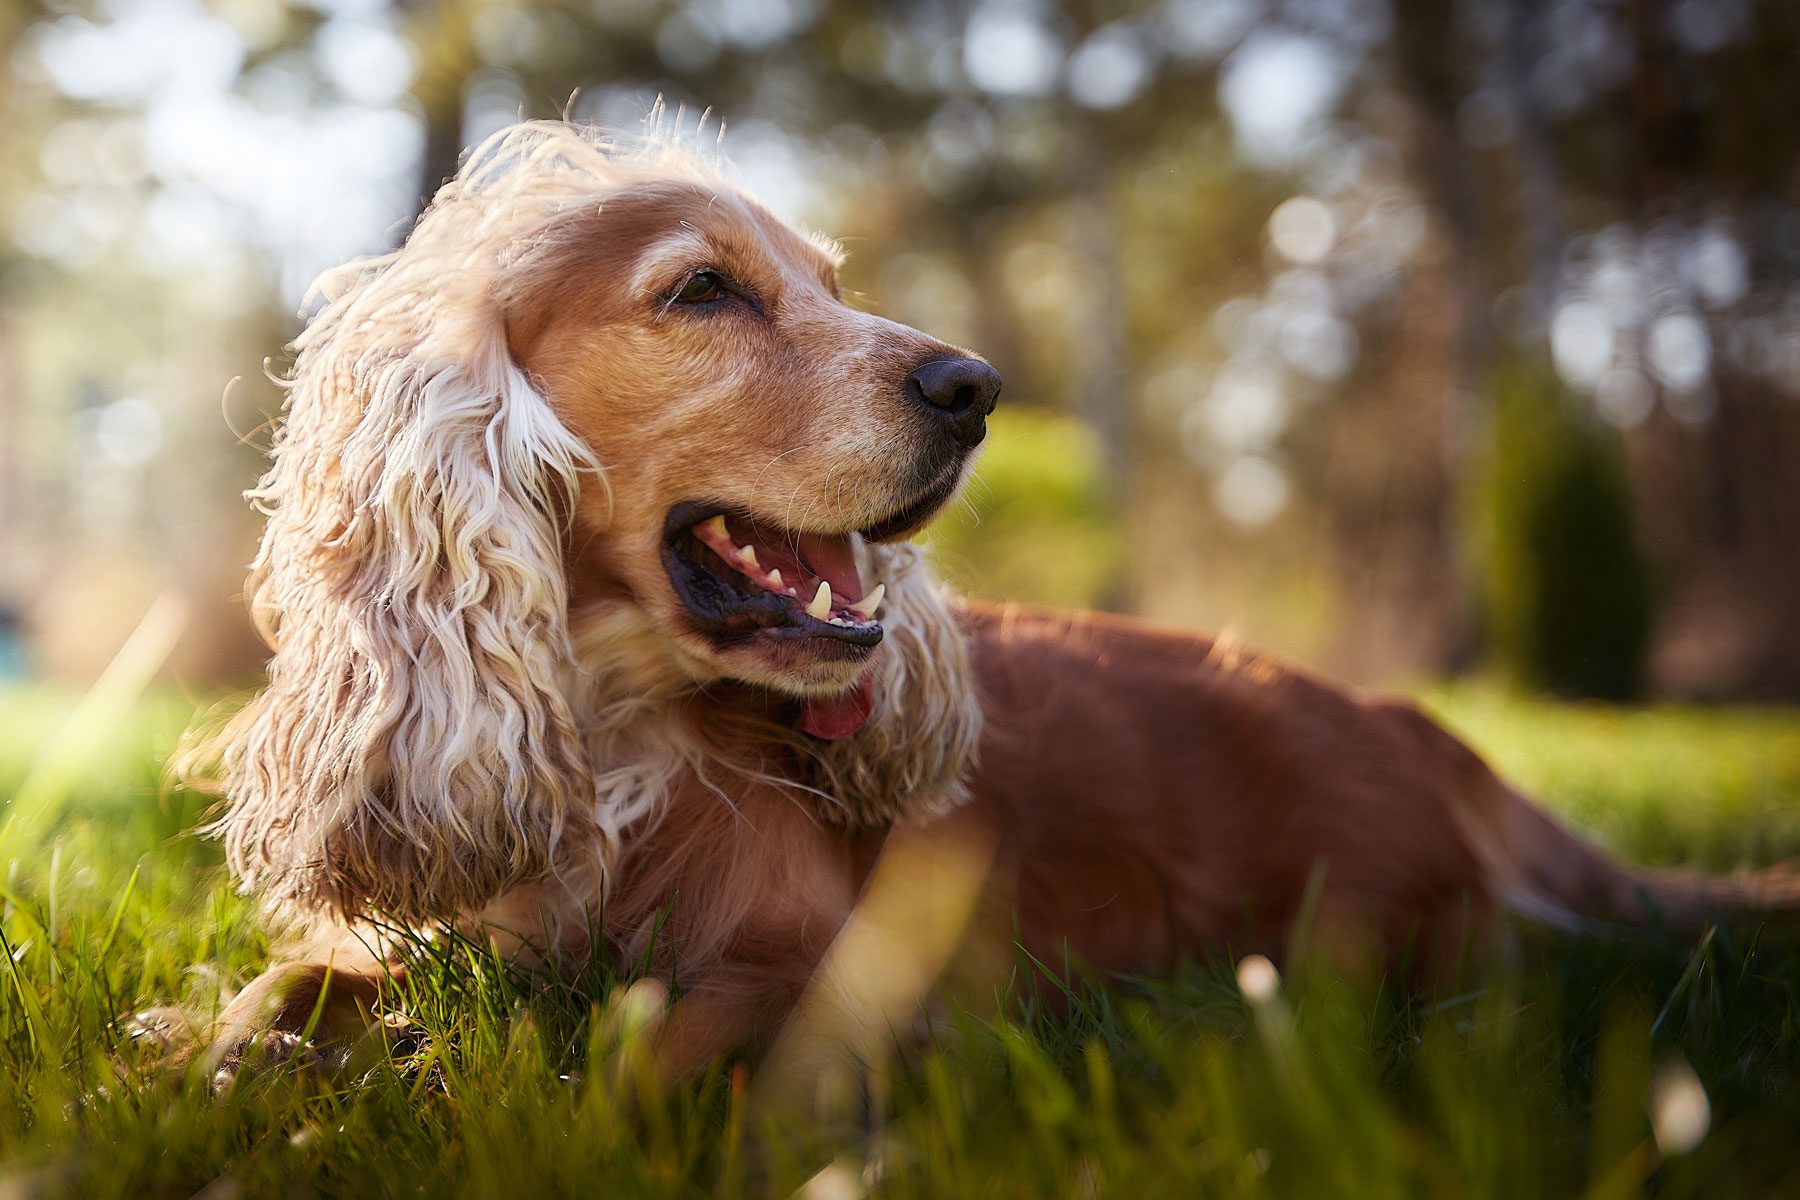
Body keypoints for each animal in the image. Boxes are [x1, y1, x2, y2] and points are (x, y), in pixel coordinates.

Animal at [186, 122, 1800, 1079]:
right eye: (702, 290)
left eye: (833, 283)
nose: (975, 388)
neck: (617, 733)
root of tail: (1427, 733)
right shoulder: (425, 917)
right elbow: (285, 986)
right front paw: (216, 1068)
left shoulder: (818, 972)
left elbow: (650, 1063)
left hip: (1377, 925)